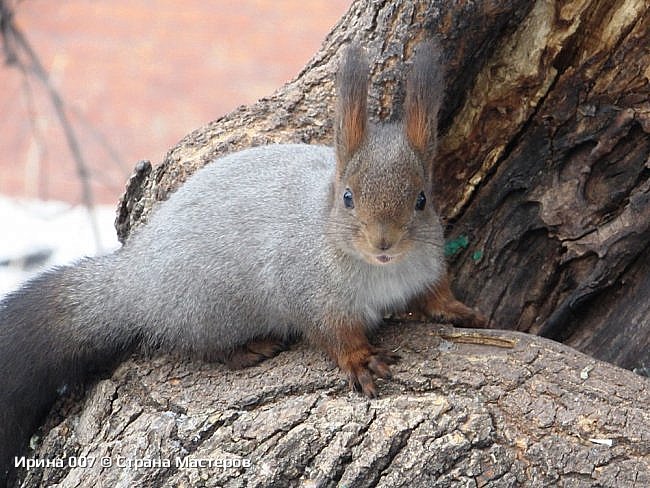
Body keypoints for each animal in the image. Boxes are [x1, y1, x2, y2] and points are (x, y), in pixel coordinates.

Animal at [0, 41, 484, 484]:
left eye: (422, 200)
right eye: (347, 197)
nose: (384, 242)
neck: (381, 270)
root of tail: (132, 278)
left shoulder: (424, 267)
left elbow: (433, 295)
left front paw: (458, 310)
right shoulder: (310, 290)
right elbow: (331, 333)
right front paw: (360, 360)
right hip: (207, 310)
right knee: (197, 344)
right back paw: (246, 349)